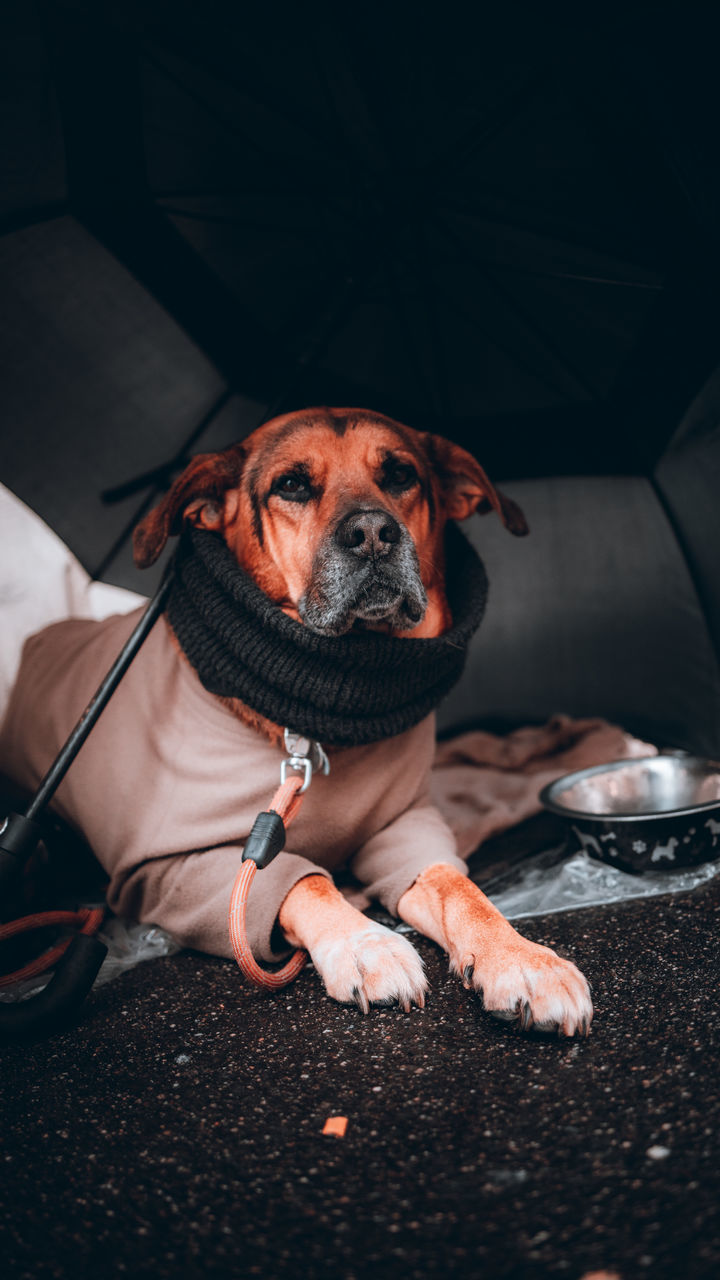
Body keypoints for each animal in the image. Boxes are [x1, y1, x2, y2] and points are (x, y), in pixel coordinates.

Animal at [130, 409, 594, 1039]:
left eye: (400, 475)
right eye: (292, 484)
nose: (374, 533)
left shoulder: (405, 829)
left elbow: (460, 888)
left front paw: (521, 958)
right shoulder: (177, 870)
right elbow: (307, 880)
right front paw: (365, 943)